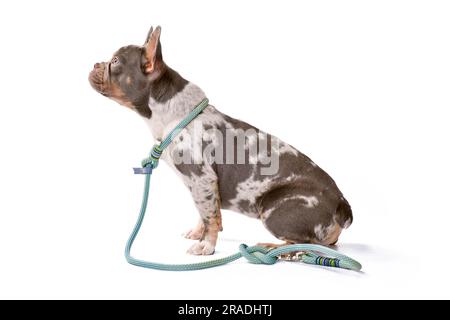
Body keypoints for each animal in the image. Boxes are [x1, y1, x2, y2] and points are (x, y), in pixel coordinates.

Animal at [89, 25, 354, 255]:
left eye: (115, 62)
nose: (95, 63)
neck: (174, 114)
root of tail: (342, 205)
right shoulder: (202, 186)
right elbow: (205, 210)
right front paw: (198, 233)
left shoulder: (201, 178)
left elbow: (210, 216)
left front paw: (206, 246)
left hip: (273, 208)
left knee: (305, 243)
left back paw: (274, 248)